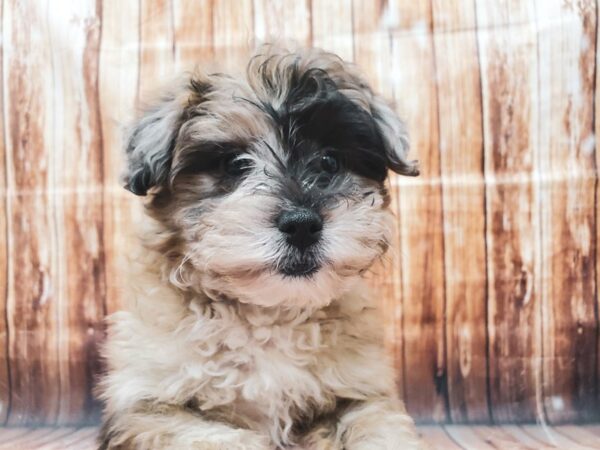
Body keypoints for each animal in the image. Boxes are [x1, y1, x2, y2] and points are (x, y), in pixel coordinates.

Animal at [97, 46, 422, 450]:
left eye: (330, 161)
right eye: (235, 164)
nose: (302, 224)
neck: (269, 315)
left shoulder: (360, 394)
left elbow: (378, 428)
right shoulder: (148, 408)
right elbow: (213, 437)